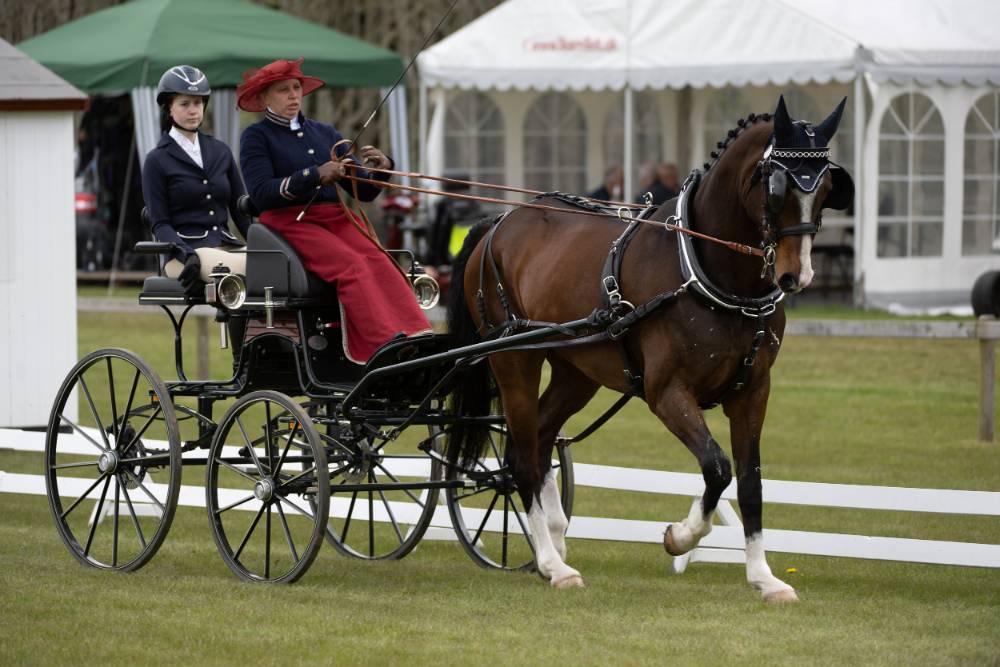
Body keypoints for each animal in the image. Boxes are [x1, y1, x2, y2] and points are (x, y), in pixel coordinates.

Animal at [446, 95, 854, 602]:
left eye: (827, 187)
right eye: (776, 187)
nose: (796, 276)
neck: (706, 271)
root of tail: (497, 223)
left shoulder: (753, 391)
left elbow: (750, 480)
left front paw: (764, 577)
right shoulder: (667, 392)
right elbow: (717, 467)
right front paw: (681, 537)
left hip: (576, 370)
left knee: (539, 440)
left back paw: (554, 546)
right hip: (514, 358)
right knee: (519, 459)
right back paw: (552, 564)